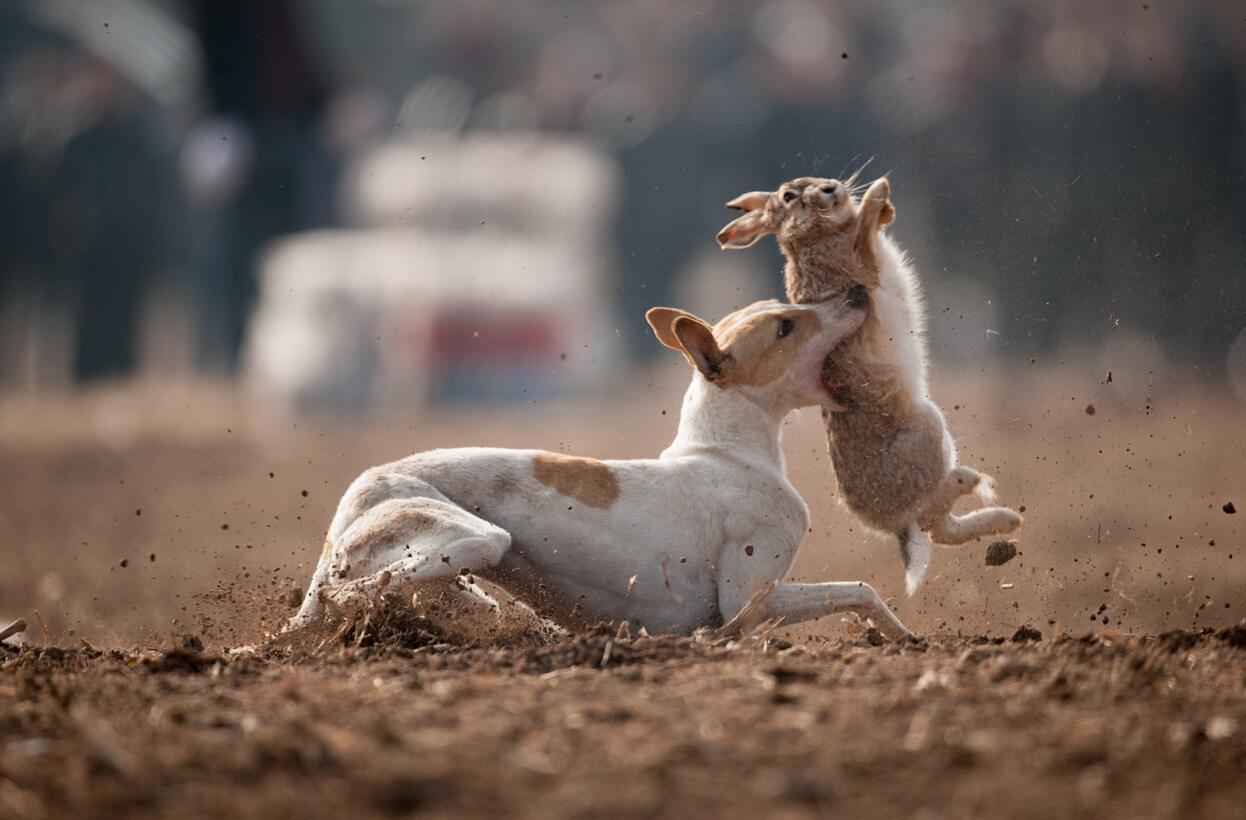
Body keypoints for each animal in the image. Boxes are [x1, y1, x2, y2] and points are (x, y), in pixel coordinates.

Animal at [286, 294, 912, 638]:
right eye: (785, 325)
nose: (857, 291)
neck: (728, 451)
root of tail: (355, 498)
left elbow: (861, 594)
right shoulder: (749, 600)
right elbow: (862, 589)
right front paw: (907, 641)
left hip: (465, 581)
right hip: (475, 540)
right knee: (355, 593)